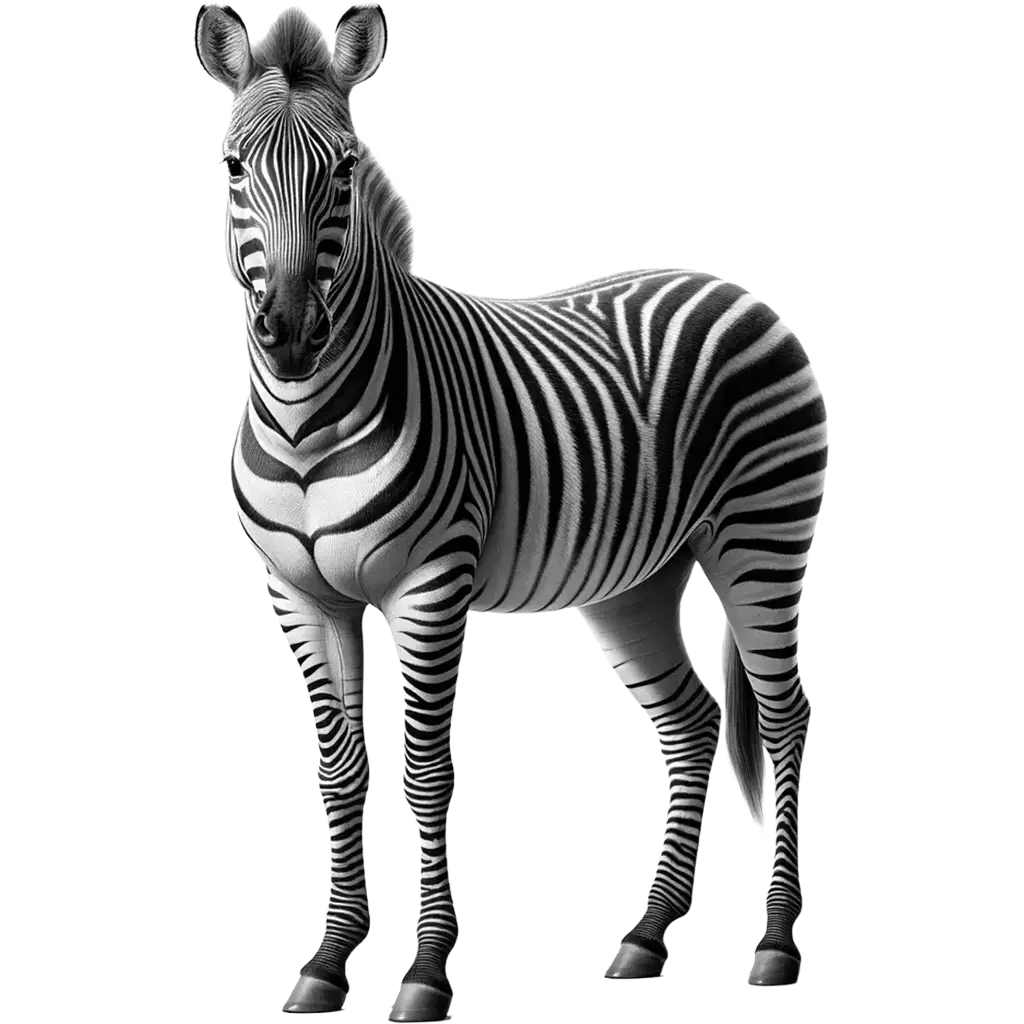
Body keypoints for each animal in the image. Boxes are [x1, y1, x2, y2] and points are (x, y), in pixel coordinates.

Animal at [193, 3, 830, 1019]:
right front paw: (330, 959)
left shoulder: (430, 583)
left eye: (344, 167)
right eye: (232, 167)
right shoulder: (300, 594)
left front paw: (424, 971)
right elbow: (337, 769)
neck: (305, 422)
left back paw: (772, 944)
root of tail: (734, 288)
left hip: (760, 539)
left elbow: (424, 770)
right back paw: (647, 937)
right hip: (635, 579)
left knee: (780, 720)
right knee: (690, 721)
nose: (289, 335)